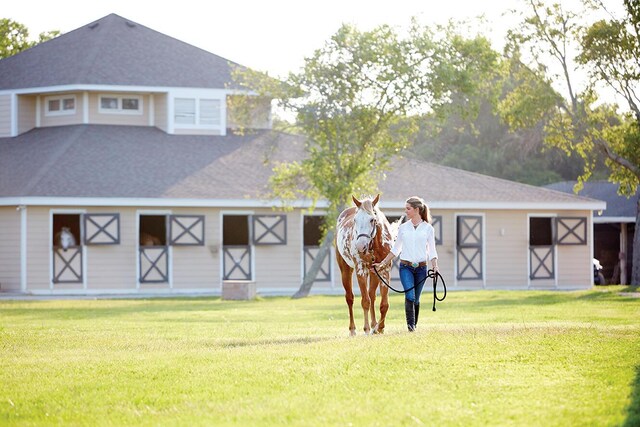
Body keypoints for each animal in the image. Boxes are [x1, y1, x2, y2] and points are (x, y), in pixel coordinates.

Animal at [338, 195, 398, 338]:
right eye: (355, 220)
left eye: (372, 219)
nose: (360, 246)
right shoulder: (361, 270)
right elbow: (365, 301)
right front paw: (366, 329)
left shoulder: (384, 270)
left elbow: (383, 304)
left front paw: (380, 328)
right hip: (345, 270)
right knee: (350, 298)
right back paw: (353, 329)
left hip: (373, 273)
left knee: (372, 296)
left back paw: (374, 325)